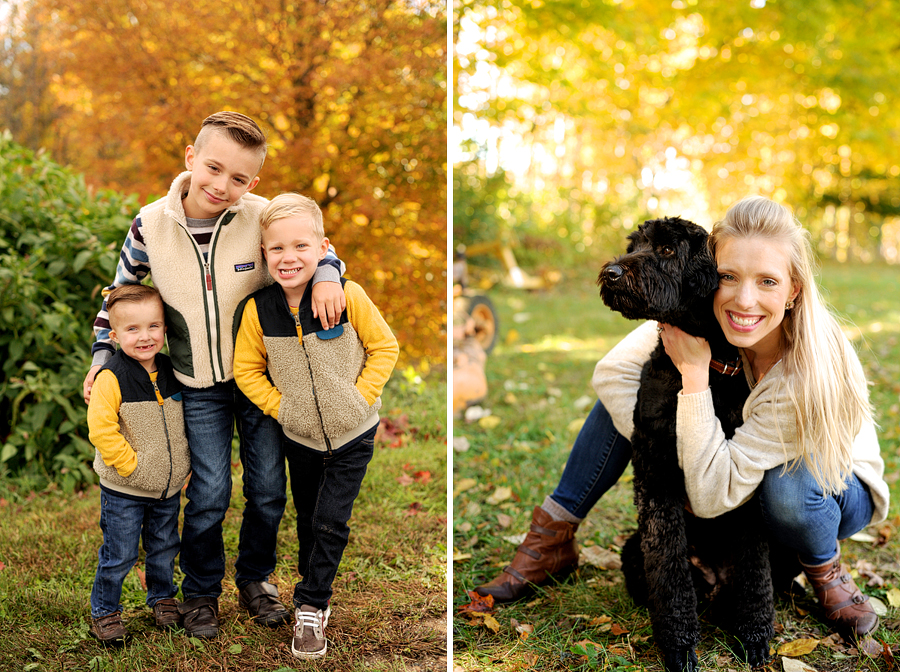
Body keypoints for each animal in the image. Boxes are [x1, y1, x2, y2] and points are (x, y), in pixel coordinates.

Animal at [596, 218, 780, 668]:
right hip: (633, 550)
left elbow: (754, 570)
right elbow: (668, 566)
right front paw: (678, 644)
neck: (706, 370)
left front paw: (755, 633)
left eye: (666, 250)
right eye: (634, 246)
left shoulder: (745, 488)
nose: (611, 272)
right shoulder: (654, 469)